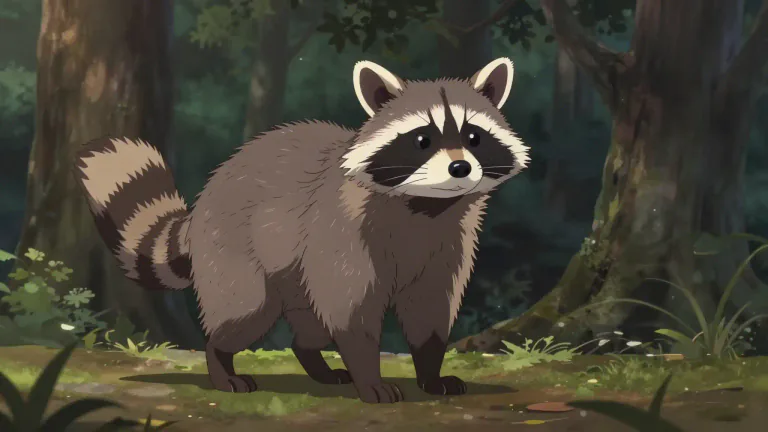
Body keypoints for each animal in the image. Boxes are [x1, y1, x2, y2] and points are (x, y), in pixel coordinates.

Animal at [73, 57, 529, 404]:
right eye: (422, 140)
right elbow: (352, 312)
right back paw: (220, 360)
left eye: (474, 136)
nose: (460, 167)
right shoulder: (343, 228)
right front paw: (370, 376)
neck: (427, 205)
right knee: (247, 311)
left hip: (296, 268)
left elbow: (430, 308)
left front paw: (431, 371)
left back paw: (314, 361)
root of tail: (204, 201)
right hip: (235, 248)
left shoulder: (447, 243)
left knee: (308, 323)